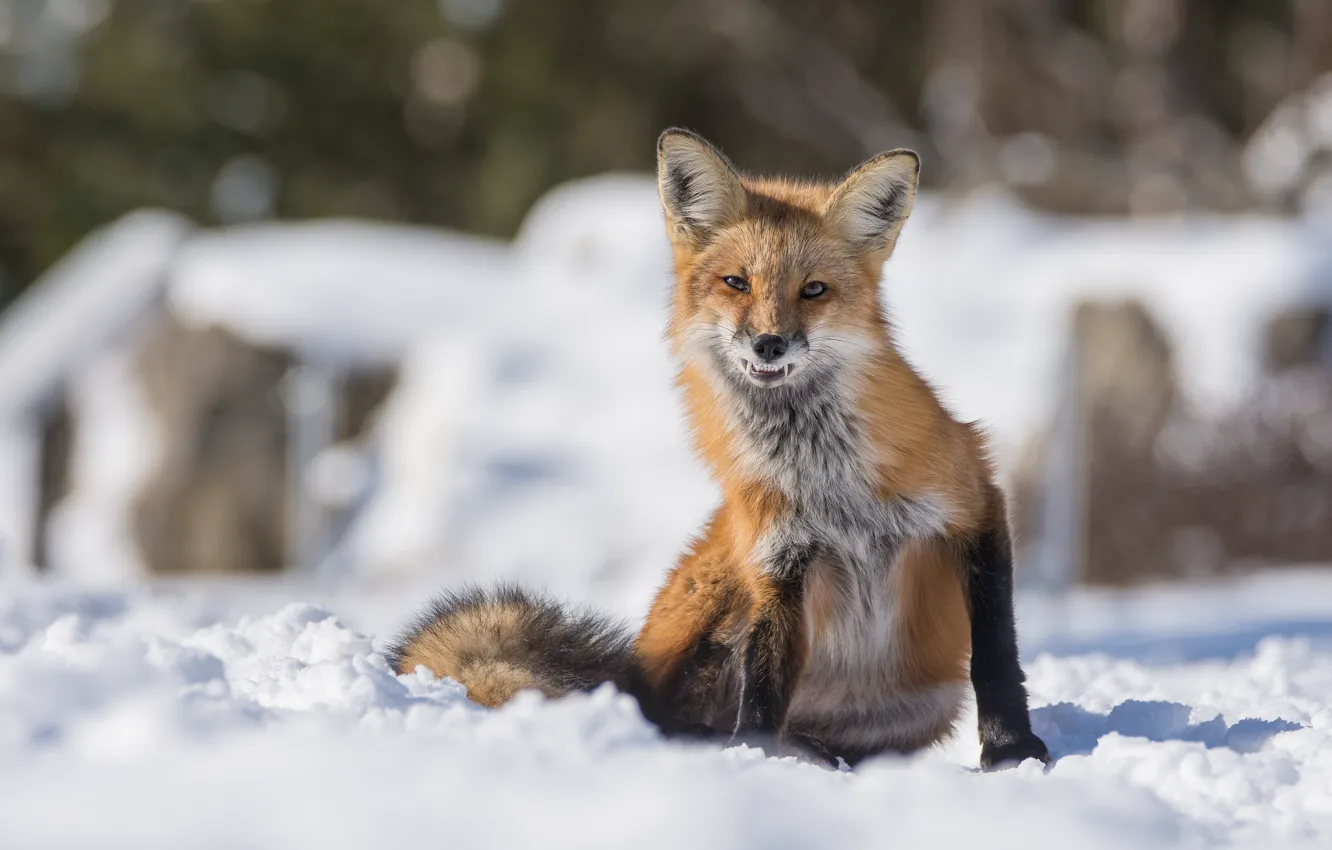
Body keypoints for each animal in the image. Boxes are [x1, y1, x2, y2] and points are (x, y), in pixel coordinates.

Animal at [388, 129, 1050, 770]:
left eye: (813, 290)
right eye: (737, 282)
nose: (769, 344)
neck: (827, 477)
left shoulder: (976, 505)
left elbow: (994, 655)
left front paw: (1011, 748)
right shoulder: (775, 563)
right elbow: (763, 684)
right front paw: (753, 757)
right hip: (718, 590)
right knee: (684, 717)